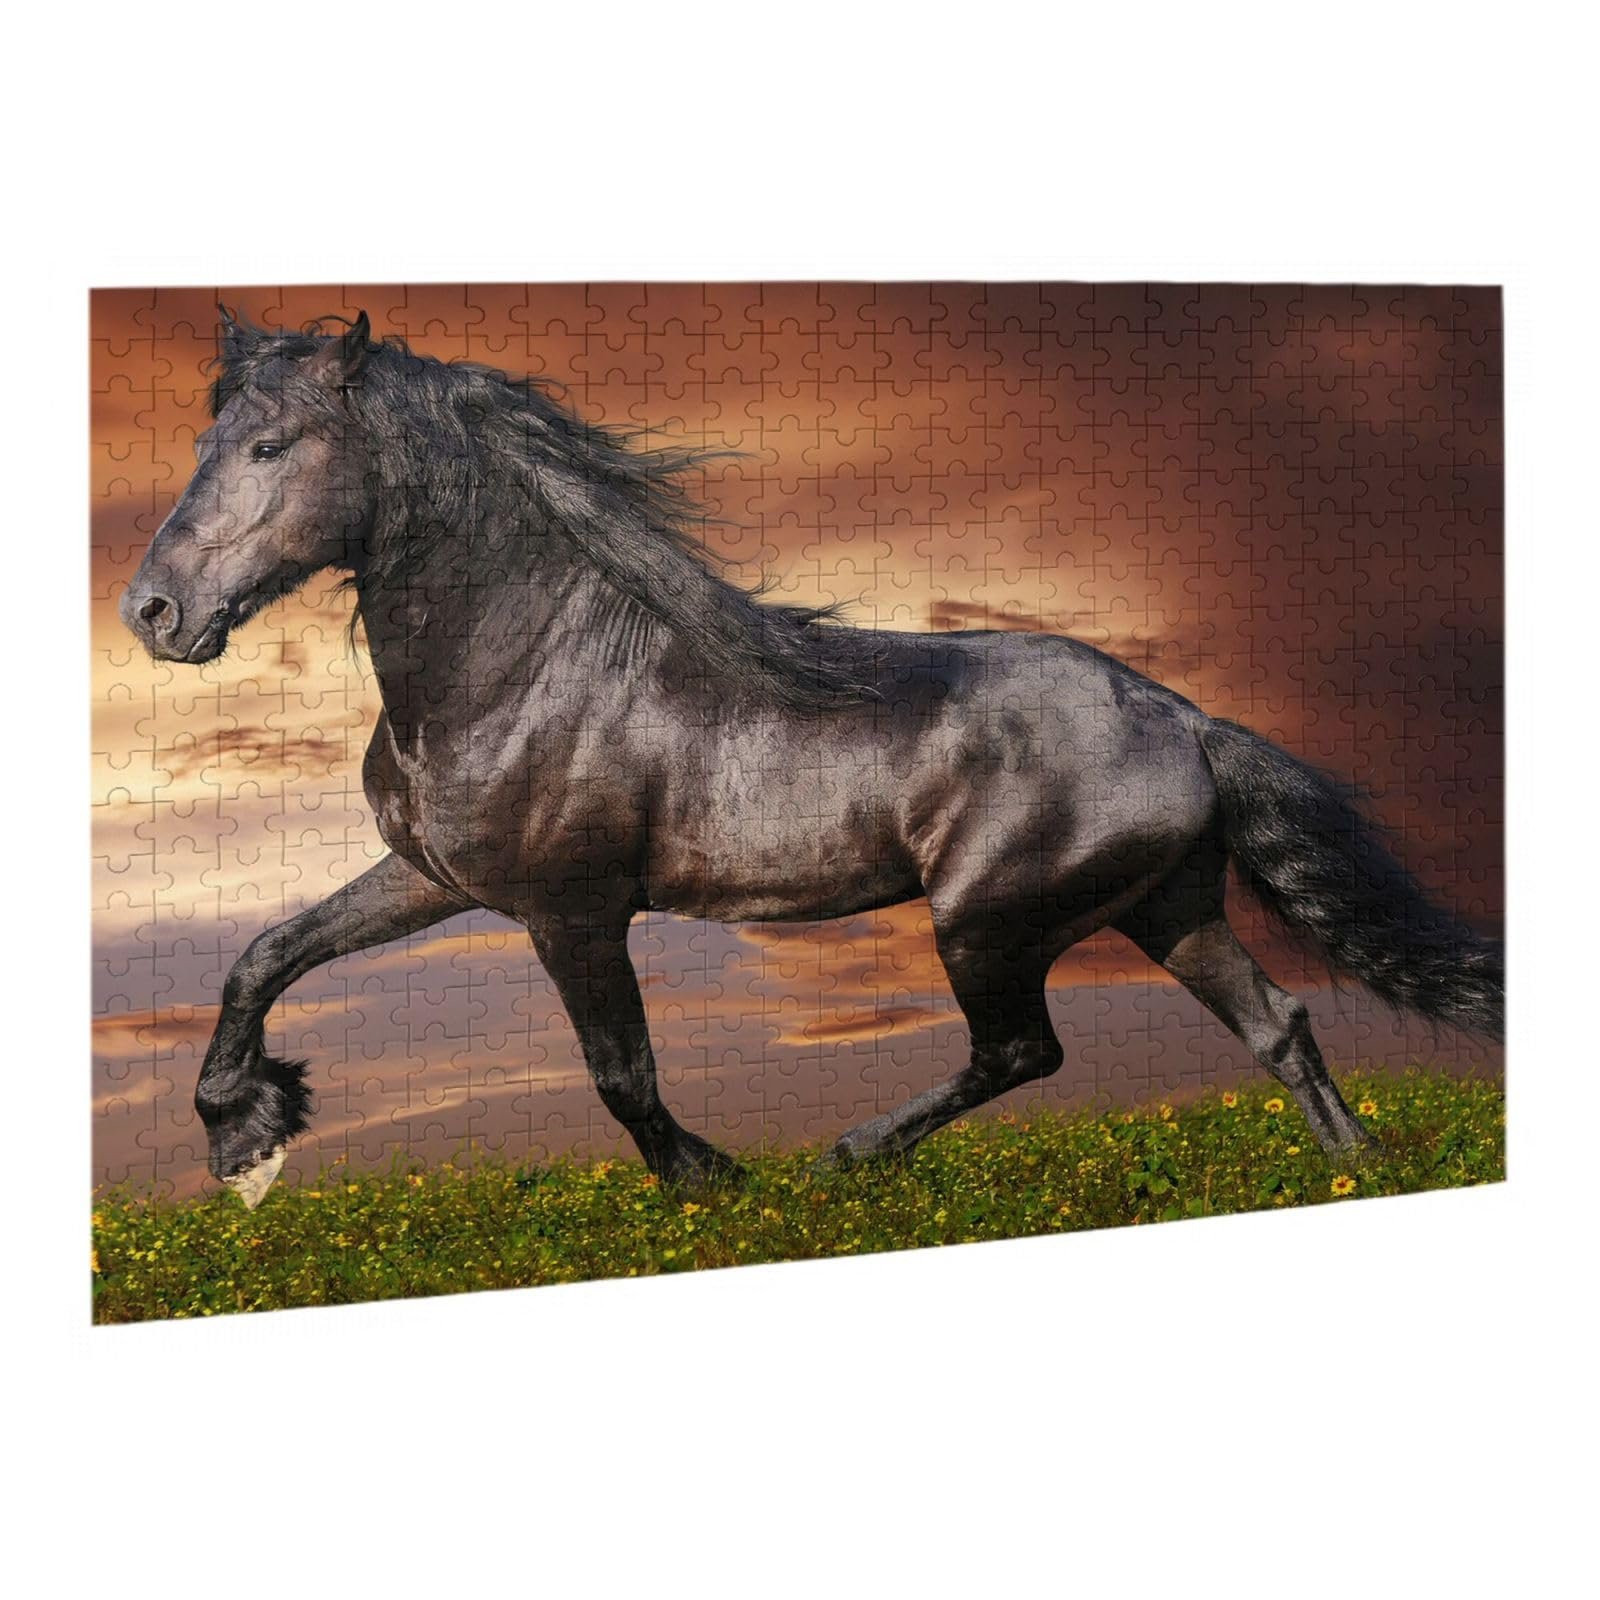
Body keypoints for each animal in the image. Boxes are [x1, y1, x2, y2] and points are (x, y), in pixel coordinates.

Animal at [121, 309, 1505, 1209]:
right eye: (202, 445)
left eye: (271, 449)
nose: (152, 614)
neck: (520, 666)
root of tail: (1182, 715)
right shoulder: (434, 881)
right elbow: (263, 956)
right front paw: (246, 1138)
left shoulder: (573, 909)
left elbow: (620, 1074)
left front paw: (718, 1190)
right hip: (1163, 906)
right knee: (1275, 1024)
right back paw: (1355, 1172)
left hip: (988, 920)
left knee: (1025, 1052)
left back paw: (848, 1155)